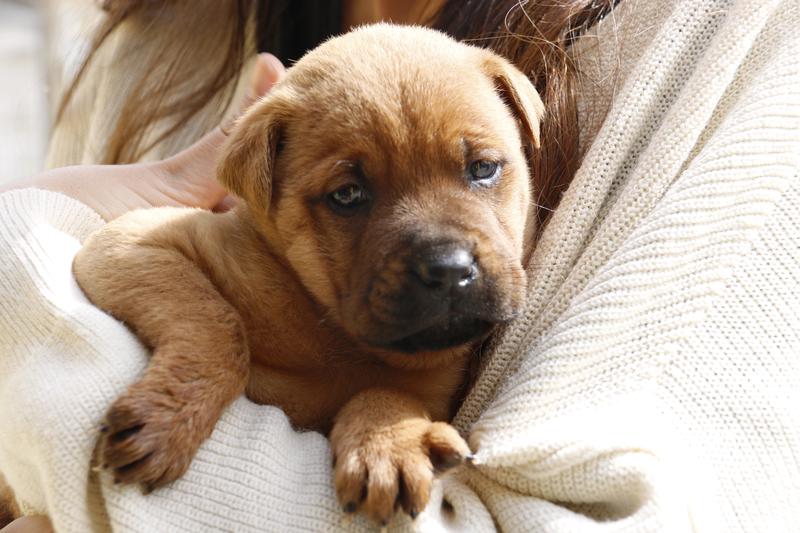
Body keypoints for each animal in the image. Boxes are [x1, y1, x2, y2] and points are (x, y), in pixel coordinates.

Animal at [72, 22, 544, 520]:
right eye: (348, 195)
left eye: (483, 168)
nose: (449, 270)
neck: (337, 339)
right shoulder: (132, 242)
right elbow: (215, 323)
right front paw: (169, 420)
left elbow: (393, 394)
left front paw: (386, 443)